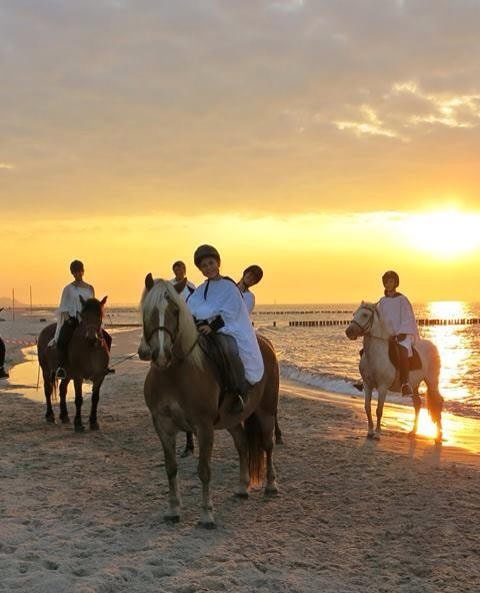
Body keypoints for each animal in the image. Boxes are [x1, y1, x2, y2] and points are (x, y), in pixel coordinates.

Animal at [37, 294, 110, 430]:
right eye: (83, 316)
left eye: (100, 316)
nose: (91, 337)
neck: (90, 348)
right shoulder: (78, 376)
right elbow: (79, 399)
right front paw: (78, 423)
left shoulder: (99, 376)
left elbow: (95, 398)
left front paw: (93, 422)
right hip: (46, 371)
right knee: (48, 390)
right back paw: (50, 415)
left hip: (67, 375)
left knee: (62, 390)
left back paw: (64, 416)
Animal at [138, 274, 282, 528]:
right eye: (148, 310)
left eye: (175, 310)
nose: (161, 354)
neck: (174, 372)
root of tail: (266, 342)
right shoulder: (162, 425)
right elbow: (170, 468)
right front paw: (173, 509)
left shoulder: (203, 427)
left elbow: (204, 470)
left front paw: (206, 514)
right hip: (232, 419)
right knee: (242, 444)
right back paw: (242, 487)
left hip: (266, 411)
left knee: (267, 444)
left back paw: (271, 485)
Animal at [344, 302, 442, 442]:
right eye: (354, 314)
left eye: (365, 315)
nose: (349, 331)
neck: (375, 355)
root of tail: (432, 346)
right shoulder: (368, 385)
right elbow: (367, 407)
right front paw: (370, 432)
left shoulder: (382, 387)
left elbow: (379, 410)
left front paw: (377, 434)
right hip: (414, 384)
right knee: (417, 404)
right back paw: (413, 431)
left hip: (432, 381)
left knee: (437, 401)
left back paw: (438, 435)